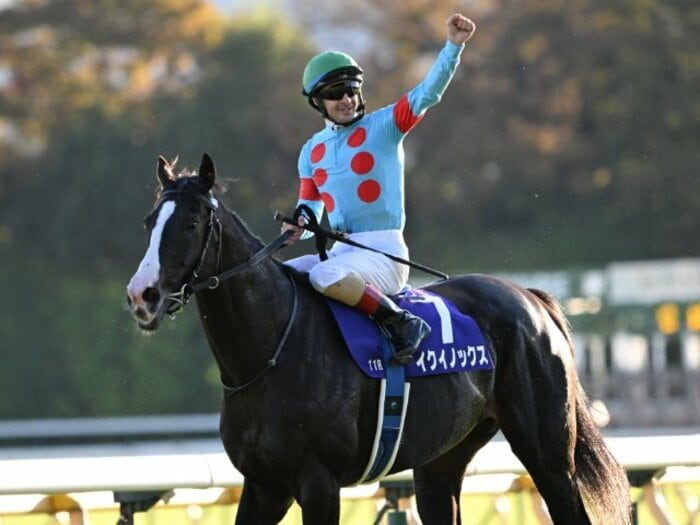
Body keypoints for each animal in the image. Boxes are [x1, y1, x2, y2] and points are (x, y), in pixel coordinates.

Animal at [126, 153, 632, 525]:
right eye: (149, 221)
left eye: (191, 223)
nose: (142, 295)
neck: (268, 352)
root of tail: (529, 296)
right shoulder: (263, 485)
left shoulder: (318, 481)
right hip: (440, 463)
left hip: (548, 454)